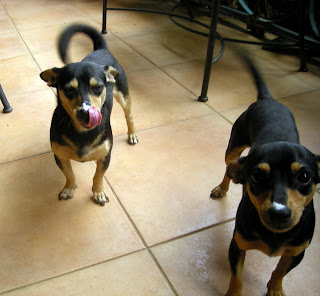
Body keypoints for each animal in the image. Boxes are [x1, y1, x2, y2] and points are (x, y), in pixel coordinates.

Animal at [40, 24, 138, 206]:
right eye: (69, 90)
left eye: (98, 87)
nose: (86, 112)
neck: (82, 131)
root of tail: (101, 49)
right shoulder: (60, 156)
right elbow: (69, 174)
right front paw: (69, 189)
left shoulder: (105, 156)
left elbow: (98, 175)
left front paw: (98, 192)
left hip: (123, 95)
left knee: (129, 115)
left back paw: (132, 134)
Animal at [211, 56, 318, 294]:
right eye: (257, 176)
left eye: (304, 176)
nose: (279, 213)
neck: (274, 235)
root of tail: (268, 99)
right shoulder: (237, 245)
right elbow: (237, 278)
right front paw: (233, 293)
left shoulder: (298, 252)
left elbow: (280, 271)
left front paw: (275, 289)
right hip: (234, 147)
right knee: (228, 169)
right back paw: (221, 188)